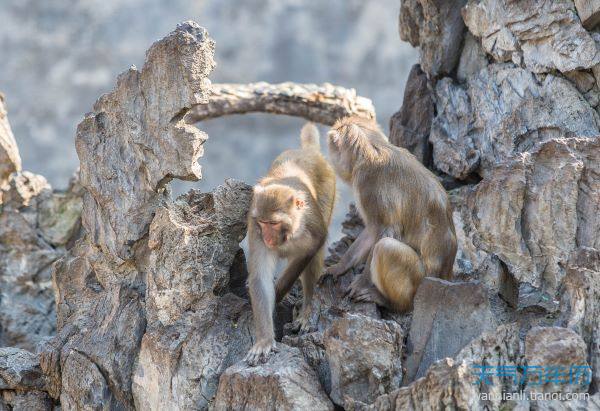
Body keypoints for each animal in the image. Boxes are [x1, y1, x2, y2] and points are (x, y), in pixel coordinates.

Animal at [245, 121, 338, 364]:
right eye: (263, 222)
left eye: (274, 223)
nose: (268, 238)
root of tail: (308, 152)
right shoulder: (254, 229)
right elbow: (260, 278)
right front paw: (264, 340)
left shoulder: (313, 227)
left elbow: (312, 249)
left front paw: (278, 292)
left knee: (315, 257)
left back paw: (306, 311)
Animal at [326, 116, 458, 312]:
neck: (373, 147)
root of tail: (444, 277)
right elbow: (371, 232)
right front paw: (340, 266)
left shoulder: (368, 184)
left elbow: (384, 232)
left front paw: (361, 283)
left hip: (417, 281)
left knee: (386, 247)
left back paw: (391, 302)